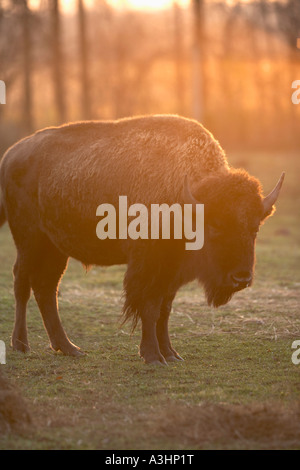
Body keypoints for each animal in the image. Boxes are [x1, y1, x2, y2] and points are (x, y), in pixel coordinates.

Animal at [0, 115, 284, 366]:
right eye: (214, 227)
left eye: (255, 228)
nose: (241, 278)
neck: (186, 200)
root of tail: (10, 156)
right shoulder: (149, 267)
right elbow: (149, 307)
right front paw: (152, 356)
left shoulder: (172, 273)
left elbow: (164, 310)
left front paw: (171, 354)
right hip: (30, 240)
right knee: (22, 282)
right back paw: (21, 345)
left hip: (55, 248)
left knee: (46, 288)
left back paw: (69, 348)